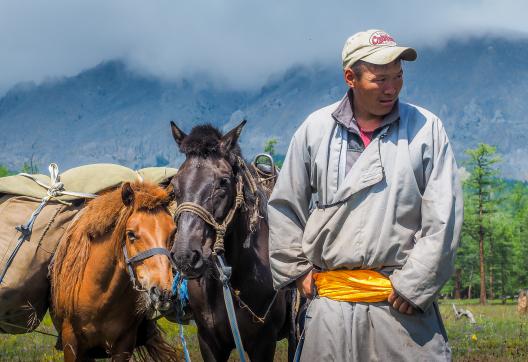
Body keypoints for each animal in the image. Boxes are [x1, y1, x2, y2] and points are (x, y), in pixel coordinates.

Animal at [50, 182, 180, 360]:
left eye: (173, 232)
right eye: (131, 234)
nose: (163, 292)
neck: (100, 297)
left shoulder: (124, 345)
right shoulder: (71, 343)